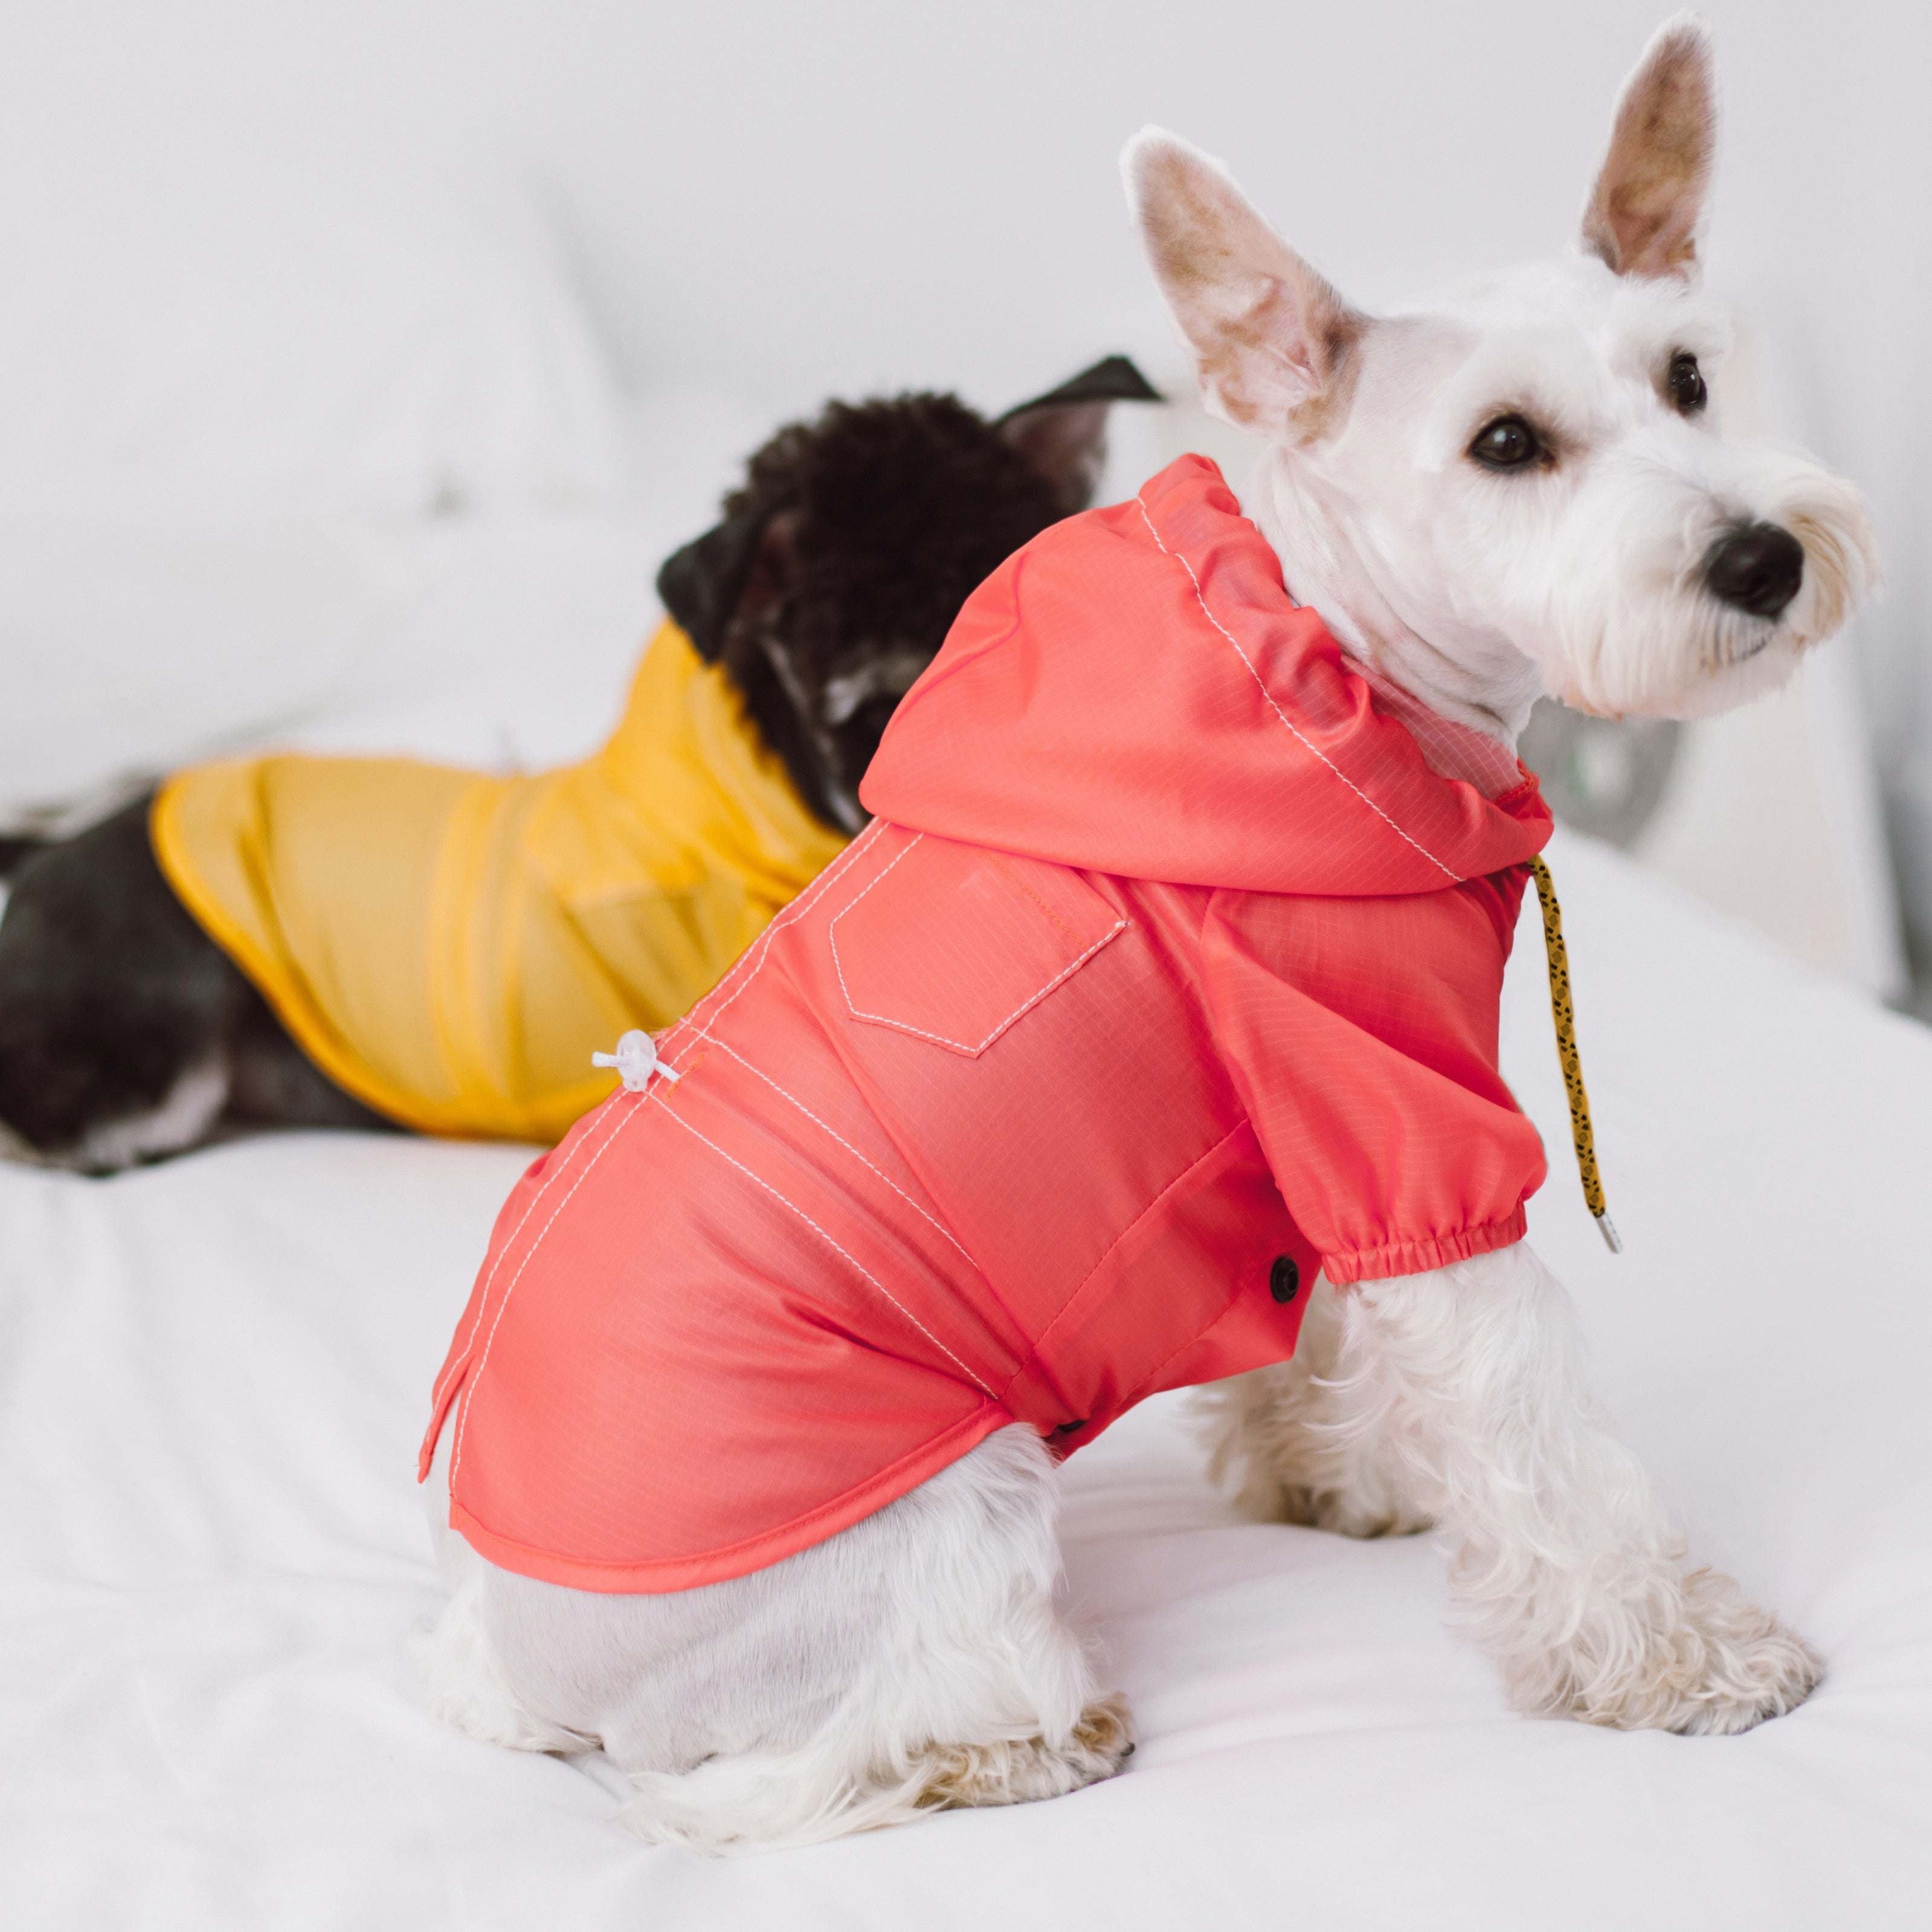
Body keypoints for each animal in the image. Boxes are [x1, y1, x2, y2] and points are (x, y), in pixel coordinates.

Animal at [410, 18, 1877, 1854]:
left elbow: (1317, 1324)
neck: (1331, 670)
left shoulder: (1294, 1143)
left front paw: (1321, 1465)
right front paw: (1676, 1653)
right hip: (956, 1515)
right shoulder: (1399, 1122)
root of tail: (514, 1656)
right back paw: (1035, 1738)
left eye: (1686, 377)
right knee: (845, 1752)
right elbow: (1530, 1418)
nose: (1758, 557)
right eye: (1503, 443)